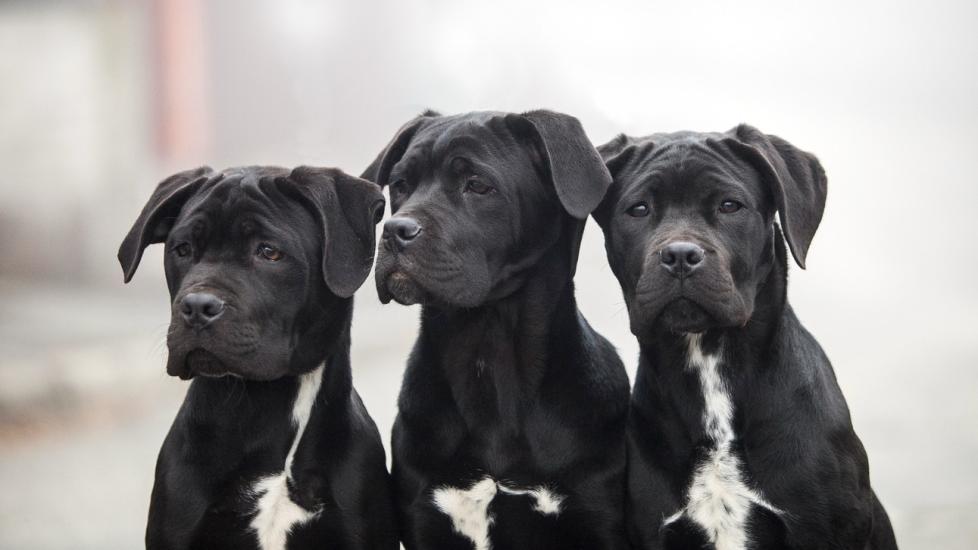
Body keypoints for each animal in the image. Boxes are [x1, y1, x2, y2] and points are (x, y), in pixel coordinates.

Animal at [362, 112, 628, 550]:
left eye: (477, 185)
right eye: (400, 185)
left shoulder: (596, 517)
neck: (487, 351)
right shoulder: (426, 518)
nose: (395, 231)